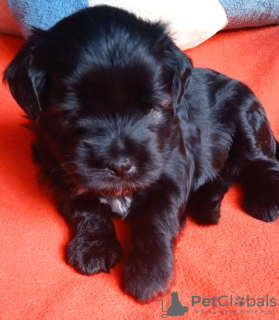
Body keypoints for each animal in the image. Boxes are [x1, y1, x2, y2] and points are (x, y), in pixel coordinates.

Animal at [3, 5, 279, 302]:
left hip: (246, 117)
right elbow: (83, 206)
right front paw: (94, 246)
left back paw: (265, 201)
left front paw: (148, 272)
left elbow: (156, 217)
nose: (121, 165)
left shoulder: (173, 169)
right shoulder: (58, 168)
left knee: (264, 163)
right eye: (72, 113)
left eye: (152, 108)